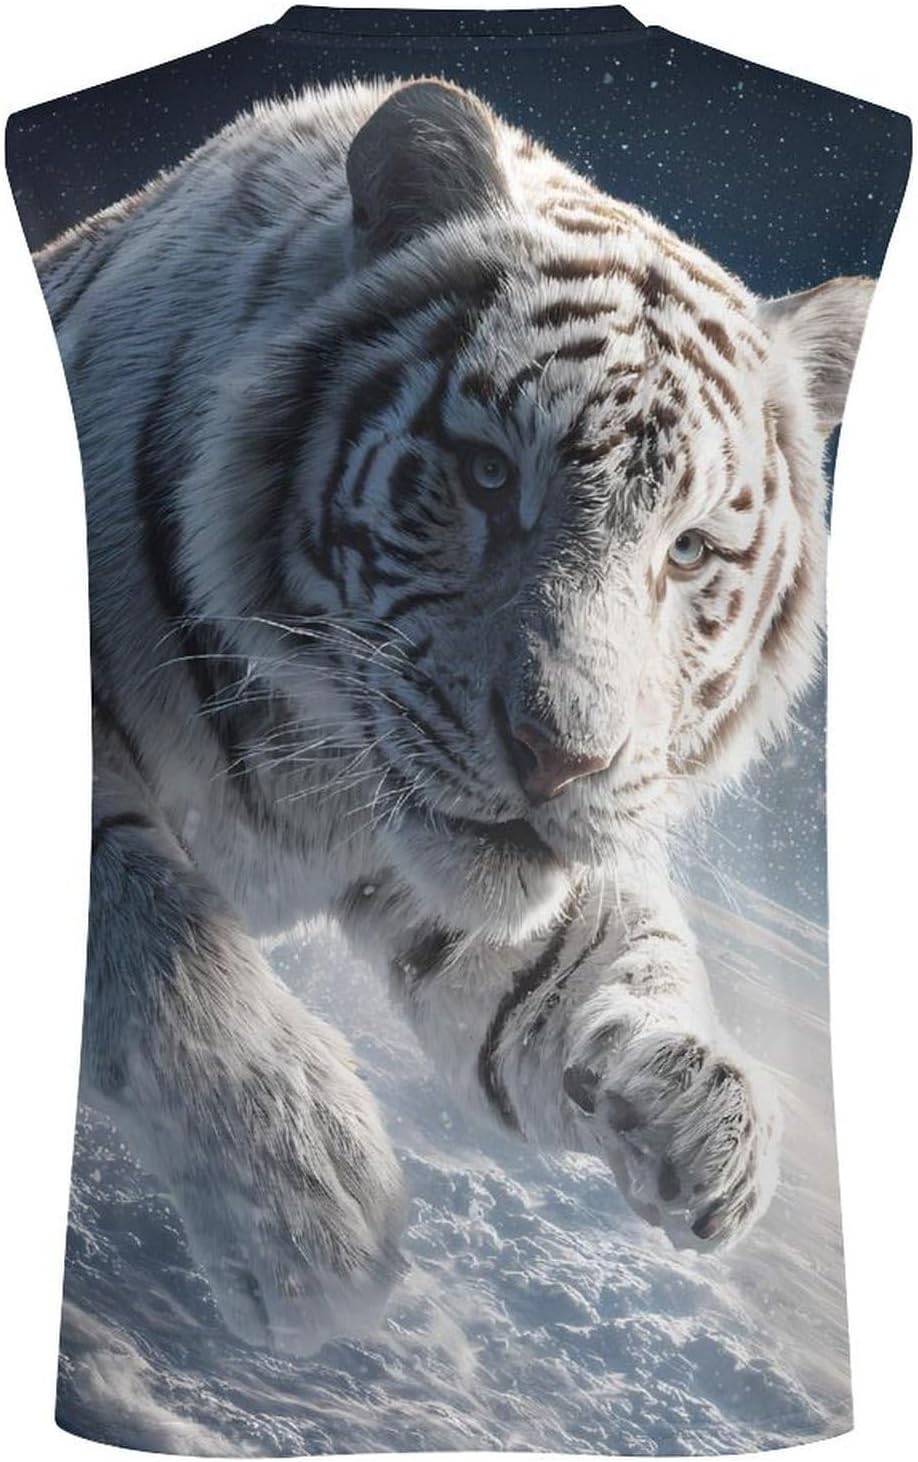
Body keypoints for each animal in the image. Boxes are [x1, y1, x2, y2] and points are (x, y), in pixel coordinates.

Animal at [36, 77, 873, 1358]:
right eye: (486, 477)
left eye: (686, 550)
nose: (561, 759)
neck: (311, 764)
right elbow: (152, 926)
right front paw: (313, 1208)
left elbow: (588, 959)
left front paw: (706, 1120)